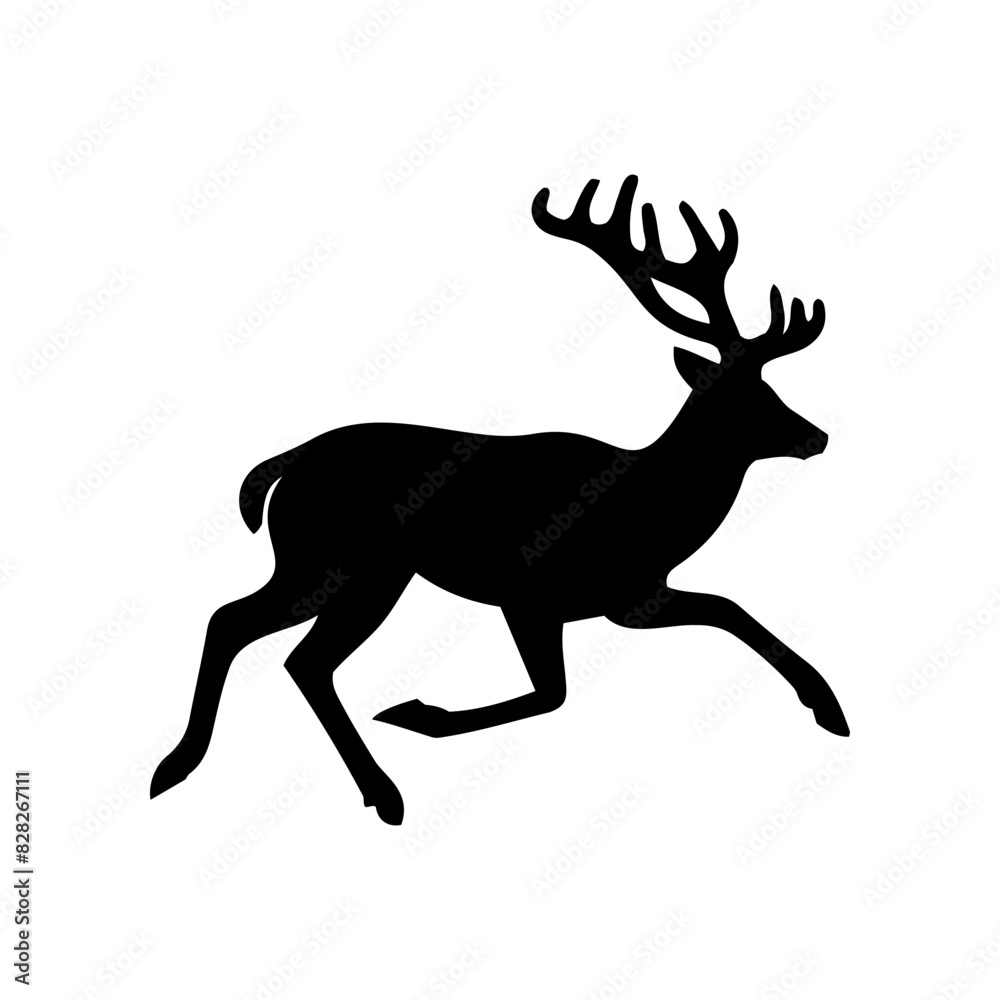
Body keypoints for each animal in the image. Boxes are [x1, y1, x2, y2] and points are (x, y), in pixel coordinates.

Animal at [150, 175, 848, 825]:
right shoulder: (528, 590)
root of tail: (288, 462)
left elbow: (730, 610)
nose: (817, 436)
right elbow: (551, 693)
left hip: (346, 567)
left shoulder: (632, 599)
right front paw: (417, 712)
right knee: (266, 637)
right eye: (743, 400)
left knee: (272, 642)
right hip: (343, 562)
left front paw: (829, 707)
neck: (647, 513)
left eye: (771, 388)